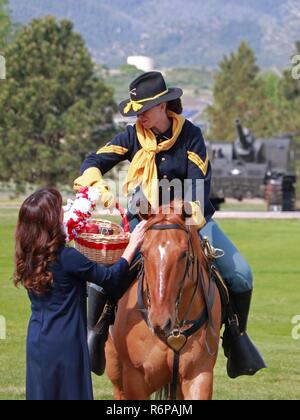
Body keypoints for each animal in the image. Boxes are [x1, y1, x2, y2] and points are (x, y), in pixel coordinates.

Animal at [105, 204, 220, 400]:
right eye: (143, 252)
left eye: (183, 254)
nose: (159, 321)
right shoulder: (135, 379)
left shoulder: (199, 375)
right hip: (115, 368)